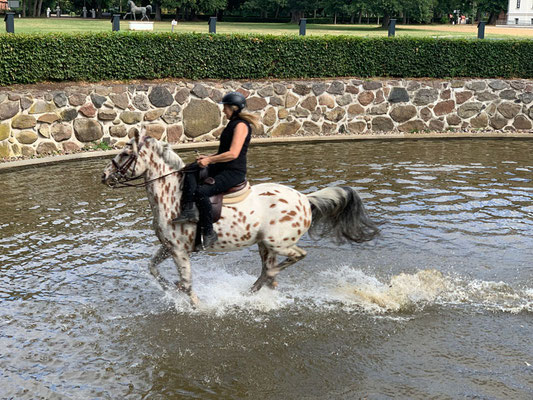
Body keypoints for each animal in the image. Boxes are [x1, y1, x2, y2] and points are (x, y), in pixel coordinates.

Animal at [102, 130, 380, 304]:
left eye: (125, 154)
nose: (104, 176)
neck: (172, 195)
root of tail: (305, 198)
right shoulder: (169, 247)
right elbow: (153, 268)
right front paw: (170, 288)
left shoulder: (180, 251)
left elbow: (187, 285)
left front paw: (198, 307)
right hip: (265, 245)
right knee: (267, 269)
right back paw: (256, 290)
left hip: (278, 243)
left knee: (294, 258)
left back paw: (264, 283)